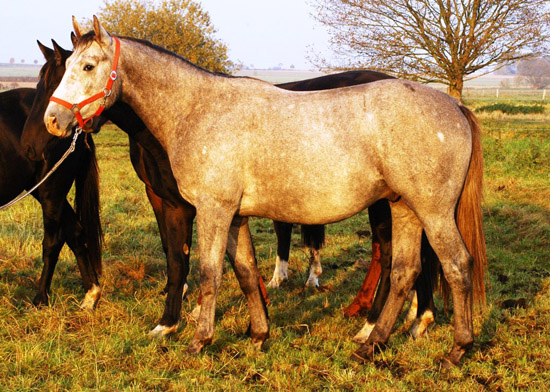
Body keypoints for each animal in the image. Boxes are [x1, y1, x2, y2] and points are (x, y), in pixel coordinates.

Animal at [0, 87, 102, 308]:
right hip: (42, 189)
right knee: (75, 231)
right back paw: (91, 293)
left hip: (52, 189)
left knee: (53, 241)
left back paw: (41, 299)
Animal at [46, 17, 488, 368]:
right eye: (64, 67)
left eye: (88, 65)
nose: (53, 120)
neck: (198, 109)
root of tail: (454, 106)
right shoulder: (235, 215)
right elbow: (244, 271)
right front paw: (259, 336)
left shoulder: (213, 210)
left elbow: (208, 274)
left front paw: (198, 341)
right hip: (404, 208)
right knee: (404, 271)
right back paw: (372, 344)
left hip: (432, 212)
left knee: (456, 265)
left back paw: (456, 349)